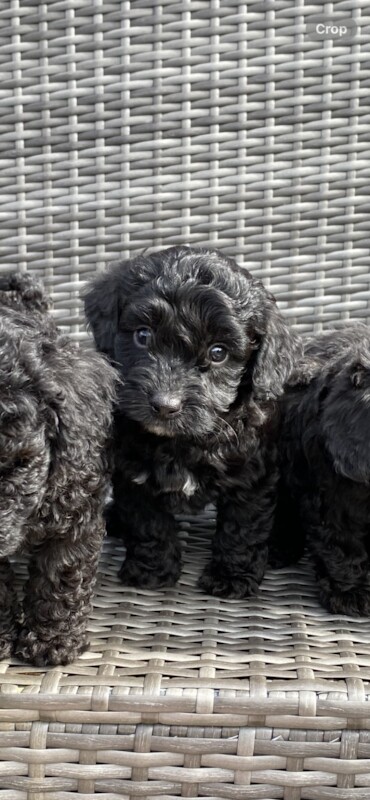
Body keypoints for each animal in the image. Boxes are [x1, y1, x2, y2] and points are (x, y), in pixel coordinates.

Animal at [84, 247, 300, 596]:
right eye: (143, 335)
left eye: (218, 353)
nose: (164, 405)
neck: (181, 442)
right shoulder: (132, 472)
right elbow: (148, 523)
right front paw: (152, 571)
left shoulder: (253, 473)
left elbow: (243, 525)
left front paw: (232, 577)